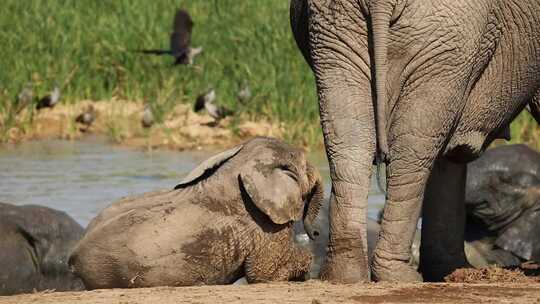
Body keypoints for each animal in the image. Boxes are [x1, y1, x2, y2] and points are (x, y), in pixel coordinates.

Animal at [292, 0, 540, 282]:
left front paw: (449, 270)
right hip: (445, 37)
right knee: (412, 150)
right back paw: (399, 276)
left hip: (336, 32)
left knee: (351, 143)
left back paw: (345, 275)